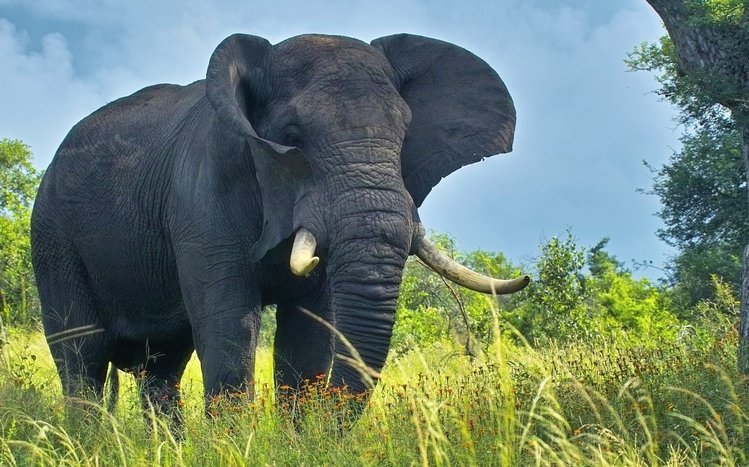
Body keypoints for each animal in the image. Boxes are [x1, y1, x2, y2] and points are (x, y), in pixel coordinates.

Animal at [31, 33, 529, 417]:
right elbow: (231, 325)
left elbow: (307, 335)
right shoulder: (202, 195)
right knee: (82, 357)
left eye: (404, 138)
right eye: (291, 139)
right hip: (53, 237)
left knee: (163, 367)